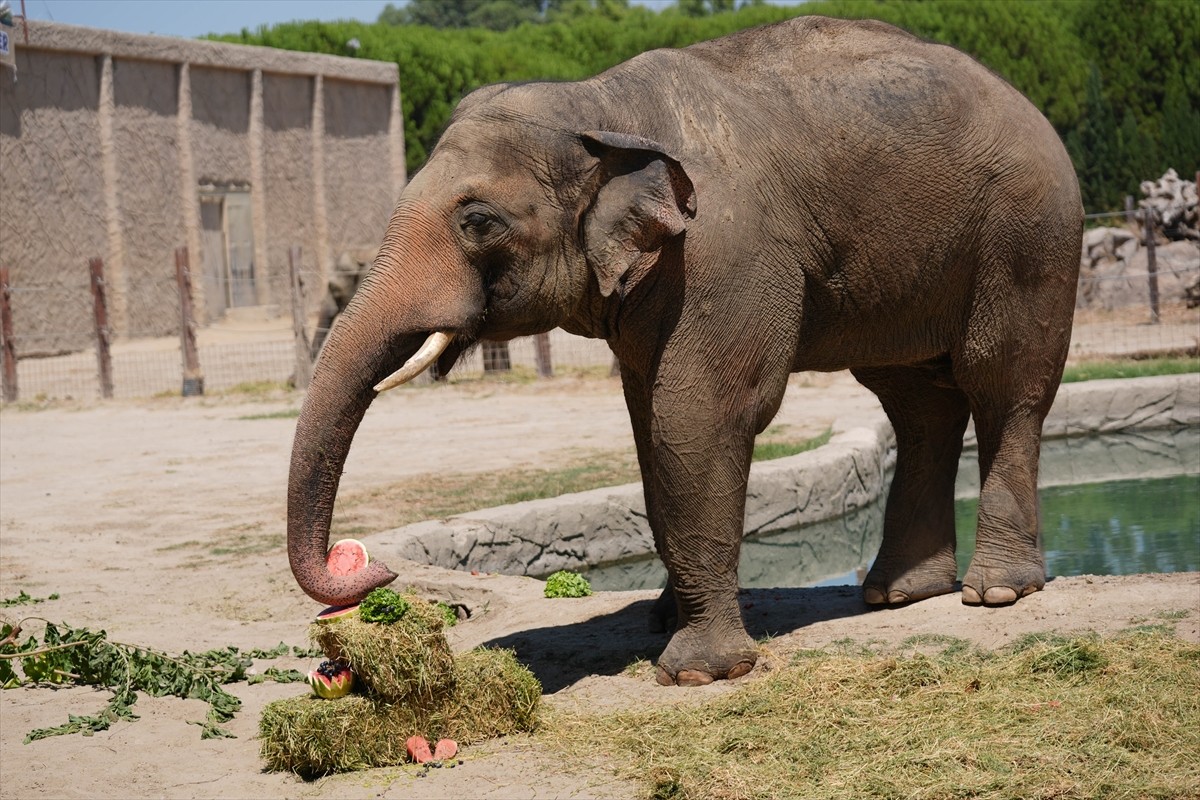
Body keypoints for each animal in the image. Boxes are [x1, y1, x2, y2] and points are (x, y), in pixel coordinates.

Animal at [285, 14, 1084, 690]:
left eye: (479, 220)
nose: (376, 571)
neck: (601, 104)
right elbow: (646, 424)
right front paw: (659, 619)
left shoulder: (724, 252)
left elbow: (697, 415)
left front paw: (696, 673)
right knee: (916, 402)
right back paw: (898, 594)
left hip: (1028, 234)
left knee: (1002, 384)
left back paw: (996, 593)